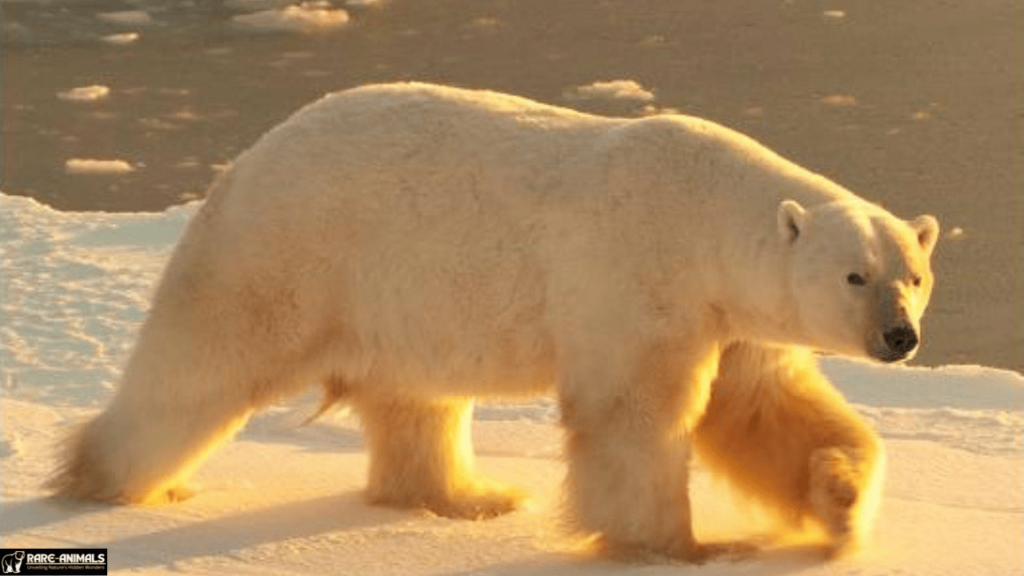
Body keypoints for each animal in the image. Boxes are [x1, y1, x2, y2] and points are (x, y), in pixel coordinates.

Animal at [54, 83, 937, 557]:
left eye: (914, 274)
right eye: (855, 275)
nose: (900, 337)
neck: (704, 215)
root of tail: (244, 160)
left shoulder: (731, 316)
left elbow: (765, 409)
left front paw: (842, 497)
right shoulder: (638, 280)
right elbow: (636, 414)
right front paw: (675, 546)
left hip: (404, 295)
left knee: (417, 400)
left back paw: (470, 496)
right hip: (291, 251)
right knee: (202, 365)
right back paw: (114, 479)